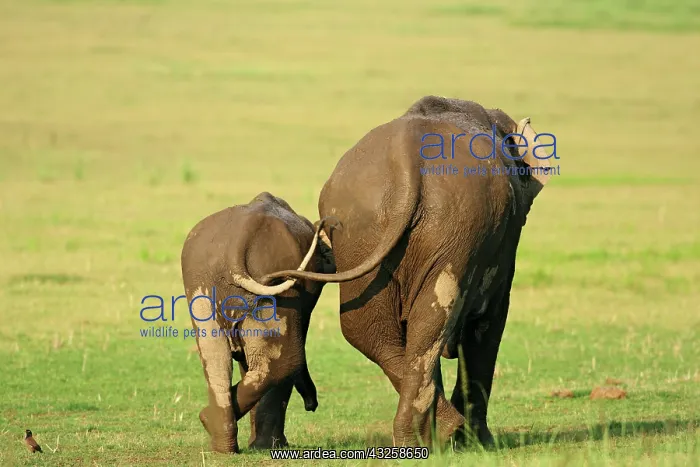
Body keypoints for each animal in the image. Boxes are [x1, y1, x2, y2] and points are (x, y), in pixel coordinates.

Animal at [180, 192, 335, 453]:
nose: (311, 405)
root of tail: (238, 244)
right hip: (275, 291)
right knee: (285, 361)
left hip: (200, 282)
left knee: (216, 357)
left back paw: (219, 439)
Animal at [263, 96, 553, 449]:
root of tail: (406, 161)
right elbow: (489, 322)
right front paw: (482, 443)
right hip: (452, 228)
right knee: (432, 320)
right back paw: (438, 434)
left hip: (362, 233)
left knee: (367, 331)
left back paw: (420, 439)